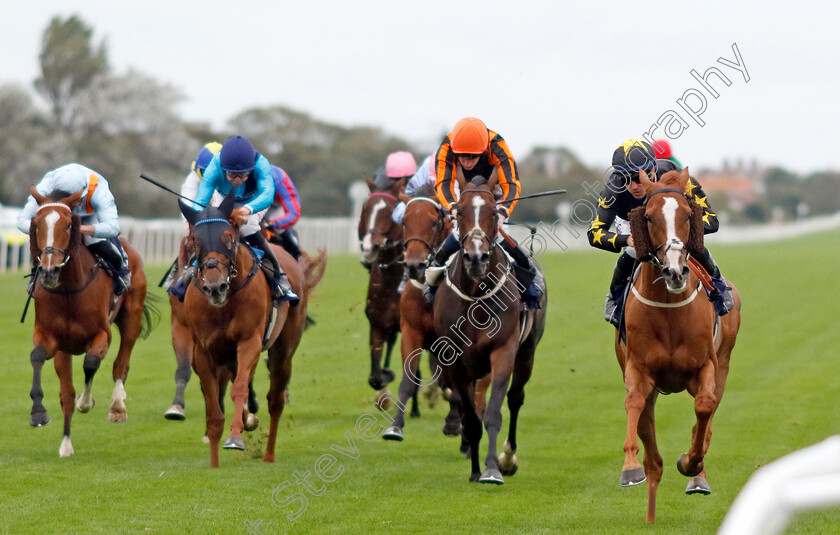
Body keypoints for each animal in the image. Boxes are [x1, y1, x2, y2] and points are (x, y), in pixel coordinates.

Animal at [25, 187, 154, 456]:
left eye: (67, 225)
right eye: (36, 224)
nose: (49, 270)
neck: (68, 291)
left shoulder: (102, 334)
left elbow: (91, 363)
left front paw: (86, 402)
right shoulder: (52, 339)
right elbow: (40, 360)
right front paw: (40, 415)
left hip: (132, 317)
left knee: (121, 364)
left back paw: (117, 407)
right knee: (67, 389)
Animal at [179, 191, 326, 466]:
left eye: (228, 238)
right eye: (195, 240)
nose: (215, 286)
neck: (224, 304)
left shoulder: (249, 342)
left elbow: (238, 389)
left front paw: (235, 437)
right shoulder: (203, 351)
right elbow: (213, 403)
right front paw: (214, 459)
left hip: (283, 351)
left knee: (275, 399)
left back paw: (268, 454)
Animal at [430, 174, 548, 484]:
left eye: (494, 212)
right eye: (459, 212)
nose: (476, 258)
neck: (476, 297)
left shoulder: (503, 352)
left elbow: (494, 412)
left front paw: (493, 469)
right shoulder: (457, 362)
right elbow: (471, 418)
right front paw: (474, 471)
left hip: (527, 353)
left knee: (516, 398)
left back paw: (508, 457)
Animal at [616, 169, 740, 524]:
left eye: (687, 214)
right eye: (648, 216)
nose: (674, 271)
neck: (670, 307)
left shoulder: (705, 366)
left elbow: (704, 408)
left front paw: (690, 463)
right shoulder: (638, 369)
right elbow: (634, 402)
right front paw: (630, 467)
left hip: (724, 363)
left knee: (708, 415)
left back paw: (697, 476)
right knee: (651, 446)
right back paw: (650, 506)